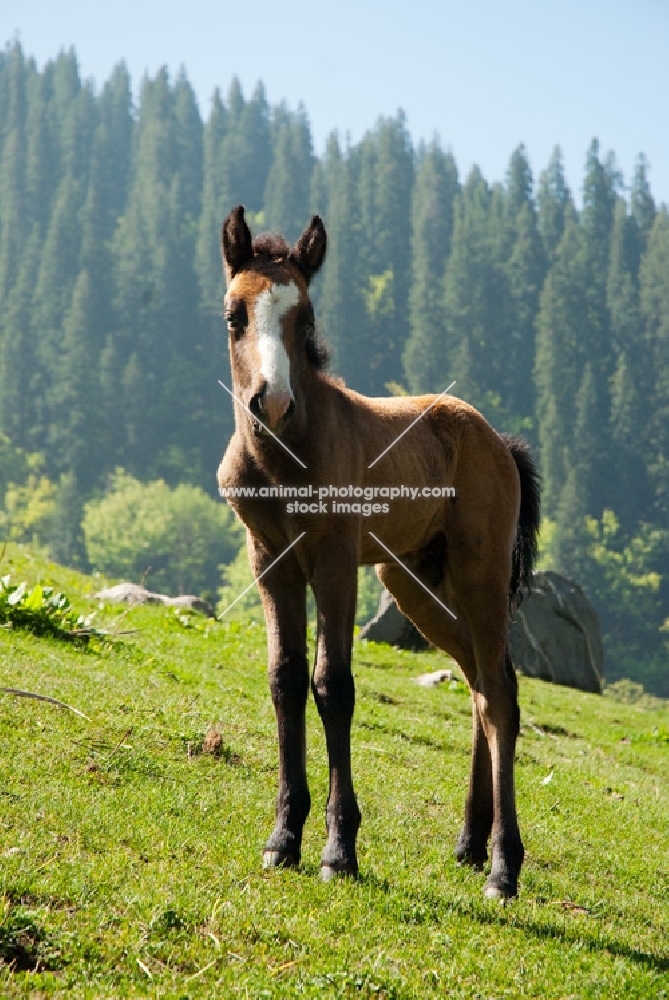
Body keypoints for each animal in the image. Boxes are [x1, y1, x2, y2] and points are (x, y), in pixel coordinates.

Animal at [217, 205, 540, 900]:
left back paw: (503, 867)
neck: (287, 461)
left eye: (306, 320)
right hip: (417, 583)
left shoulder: (336, 563)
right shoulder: (271, 563)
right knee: (481, 684)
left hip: (478, 574)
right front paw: (283, 838)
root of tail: (498, 439)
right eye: (234, 315)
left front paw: (339, 850)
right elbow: (286, 680)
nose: (272, 402)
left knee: (500, 696)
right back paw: (469, 843)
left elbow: (332, 686)